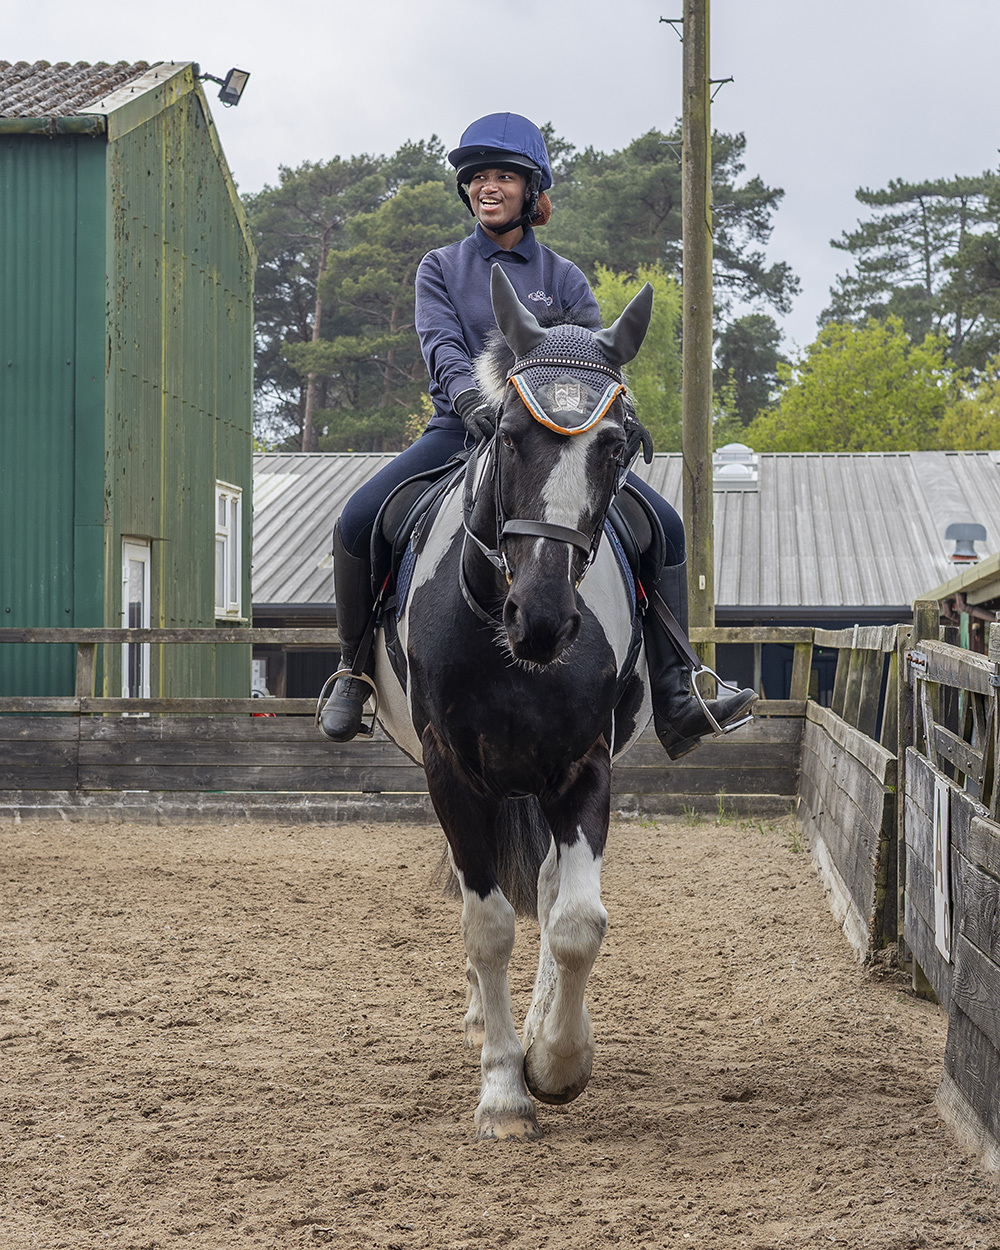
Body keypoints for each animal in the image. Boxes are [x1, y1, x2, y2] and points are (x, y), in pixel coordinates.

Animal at [365, 265, 655, 1141]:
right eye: (506, 433)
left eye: (615, 444)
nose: (545, 617)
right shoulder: (453, 772)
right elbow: (487, 924)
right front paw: (502, 1091)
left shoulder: (584, 765)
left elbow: (576, 921)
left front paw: (556, 1062)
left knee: (554, 894)